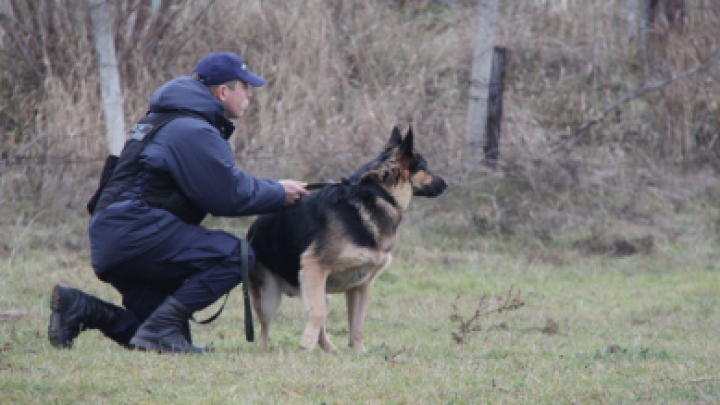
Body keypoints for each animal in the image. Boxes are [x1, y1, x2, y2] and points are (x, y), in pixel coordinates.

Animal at [250, 125, 448, 350]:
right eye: (424, 167)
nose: (447, 184)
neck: (378, 194)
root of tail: (252, 230)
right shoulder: (314, 267)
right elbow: (318, 313)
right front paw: (305, 346)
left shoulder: (360, 286)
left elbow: (357, 323)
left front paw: (358, 351)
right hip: (269, 298)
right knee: (266, 330)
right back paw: (267, 349)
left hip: (320, 292)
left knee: (320, 317)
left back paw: (329, 349)